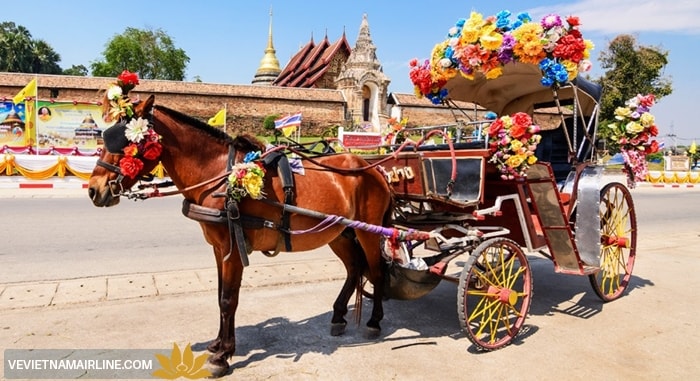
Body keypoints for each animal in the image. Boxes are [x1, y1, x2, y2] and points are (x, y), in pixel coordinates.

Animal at [87, 94, 392, 374]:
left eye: (124, 142)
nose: (93, 189)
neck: (219, 178)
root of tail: (375, 170)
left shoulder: (233, 249)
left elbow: (228, 299)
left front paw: (223, 356)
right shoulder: (219, 248)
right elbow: (221, 295)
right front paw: (218, 345)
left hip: (368, 230)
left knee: (376, 270)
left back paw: (375, 321)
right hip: (339, 232)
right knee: (355, 268)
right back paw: (339, 315)